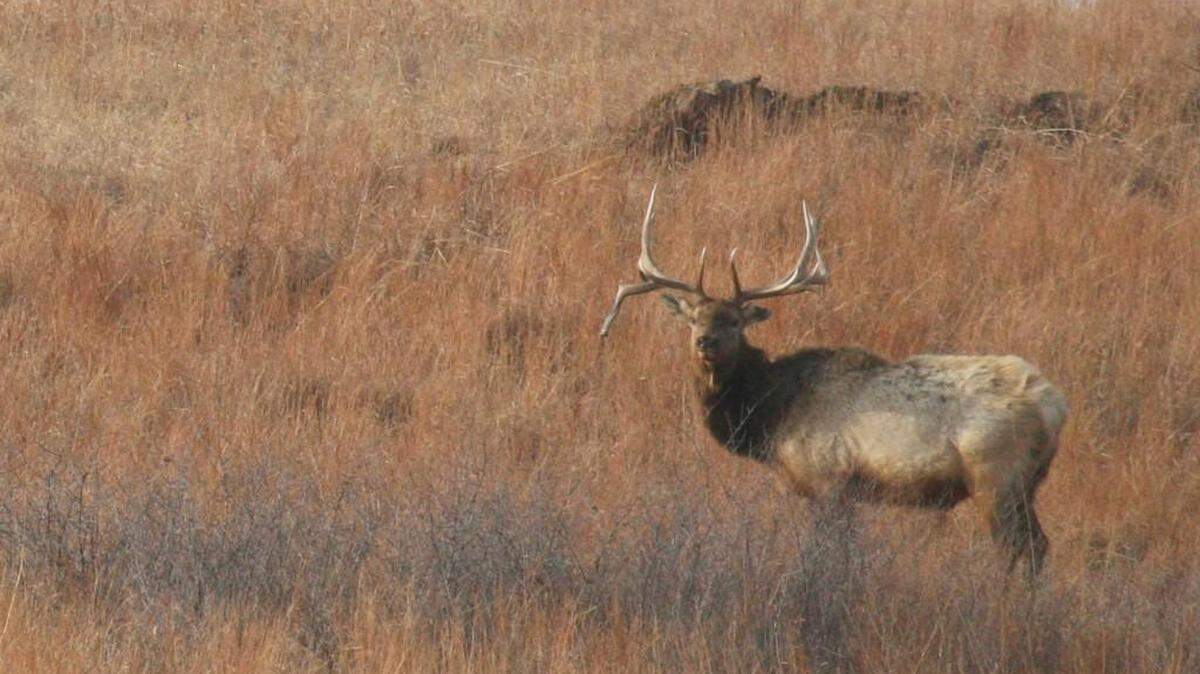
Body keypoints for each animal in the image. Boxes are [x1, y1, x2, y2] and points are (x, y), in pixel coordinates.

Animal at [600, 186, 1068, 576]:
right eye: (694, 318)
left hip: (997, 475)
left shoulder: (829, 482)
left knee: (1021, 546)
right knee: (1040, 545)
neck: (771, 419)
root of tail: (1054, 405)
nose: (705, 342)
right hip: (1026, 482)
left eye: (733, 321)